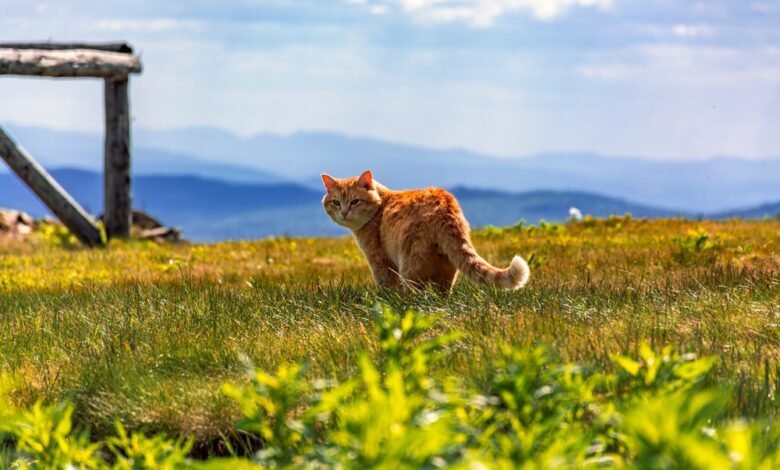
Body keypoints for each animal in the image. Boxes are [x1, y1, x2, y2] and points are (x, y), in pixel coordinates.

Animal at [318, 169, 532, 294]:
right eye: (336, 202)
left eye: (355, 201)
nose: (344, 212)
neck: (381, 206)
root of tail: (445, 205)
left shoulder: (380, 260)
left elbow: (386, 285)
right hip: (446, 265)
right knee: (441, 293)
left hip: (410, 263)